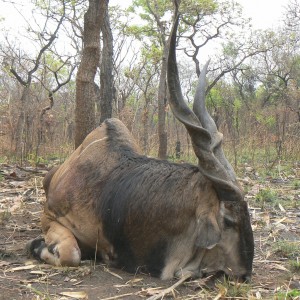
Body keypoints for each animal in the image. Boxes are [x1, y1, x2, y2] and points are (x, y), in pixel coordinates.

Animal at [27, 13, 253, 282]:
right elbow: (71, 254)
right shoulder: (50, 217)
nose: (245, 273)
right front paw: (36, 245)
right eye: (228, 220)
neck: (105, 194)